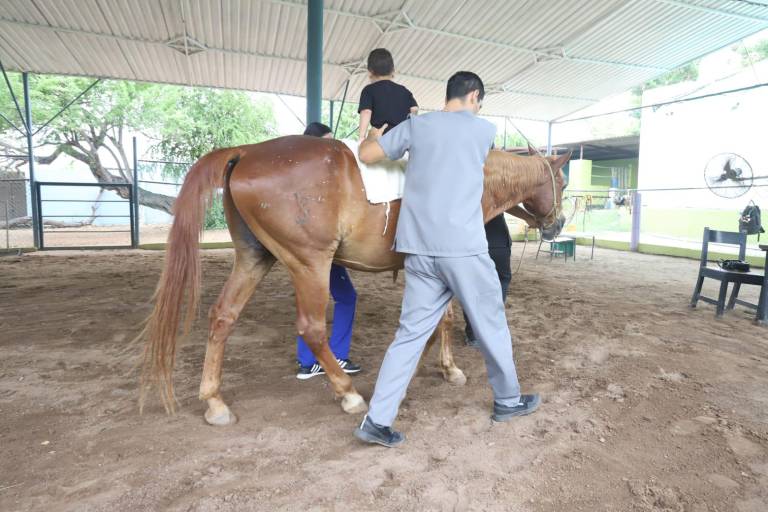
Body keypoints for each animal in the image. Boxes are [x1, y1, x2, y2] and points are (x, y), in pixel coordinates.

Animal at [140, 135, 568, 424]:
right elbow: (443, 320)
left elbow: (436, 321)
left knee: (222, 317)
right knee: (312, 328)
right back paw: (347, 394)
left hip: (254, 258)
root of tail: (247, 151)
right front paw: (442, 368)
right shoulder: (449, 261)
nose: (558, 223)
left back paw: (214, 401)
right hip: (309, 264)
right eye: (561, 184)